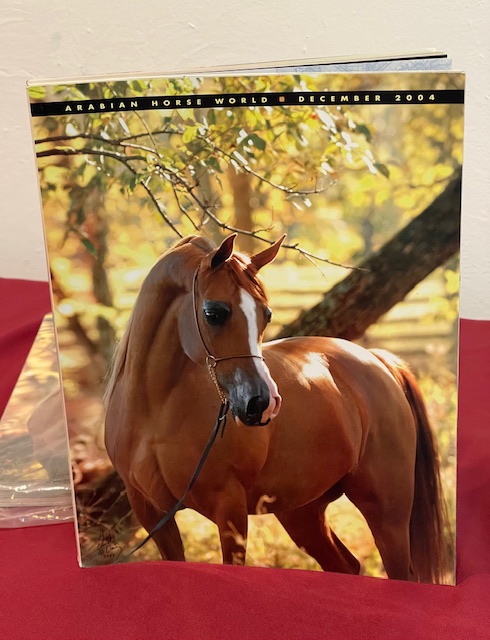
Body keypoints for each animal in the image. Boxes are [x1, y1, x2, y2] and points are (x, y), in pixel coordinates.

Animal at [104, 233, 449, 583]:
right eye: (214, 313)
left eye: (266, 314)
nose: (262, 402)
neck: (154, 411)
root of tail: (377, 361)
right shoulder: (153, 514)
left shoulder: (229, 510)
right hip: (302, 512)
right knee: (347, 565)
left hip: (387, 514)